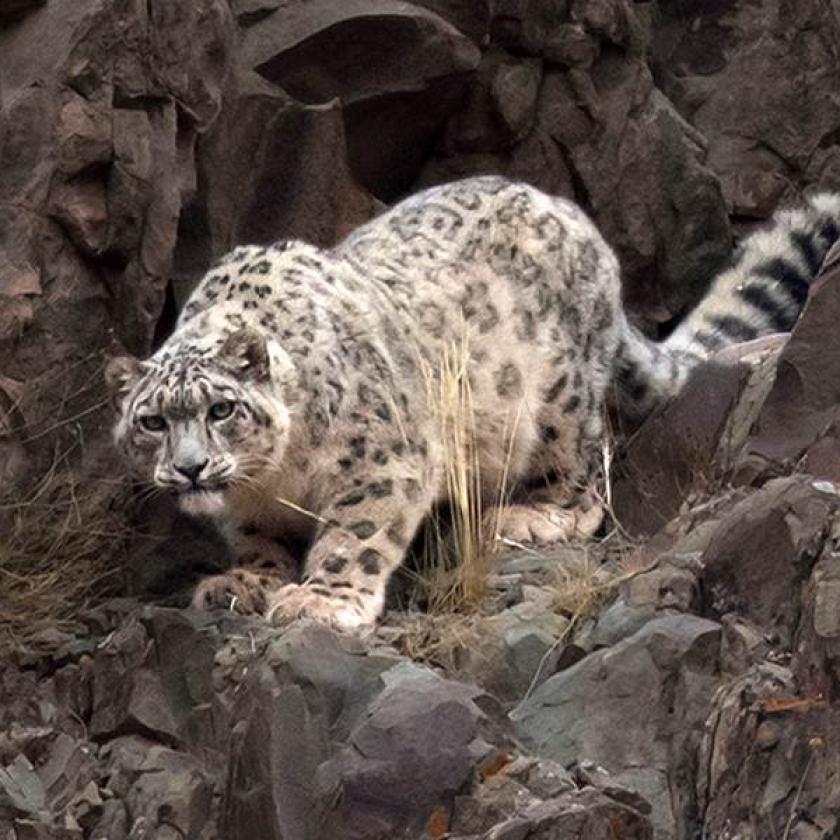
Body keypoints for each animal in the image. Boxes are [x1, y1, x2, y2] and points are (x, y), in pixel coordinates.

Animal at [106, 176, 840, 630]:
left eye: (221, 410)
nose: (191, 468)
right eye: (152, 421)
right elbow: (259, 542)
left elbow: (355, 534)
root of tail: (577, 222)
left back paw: (532, 516)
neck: (274, 478)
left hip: (555, 404)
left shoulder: (384, 458)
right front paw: (244, 582)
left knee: (586, 472)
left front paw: (322, 601)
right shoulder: (251, 510)